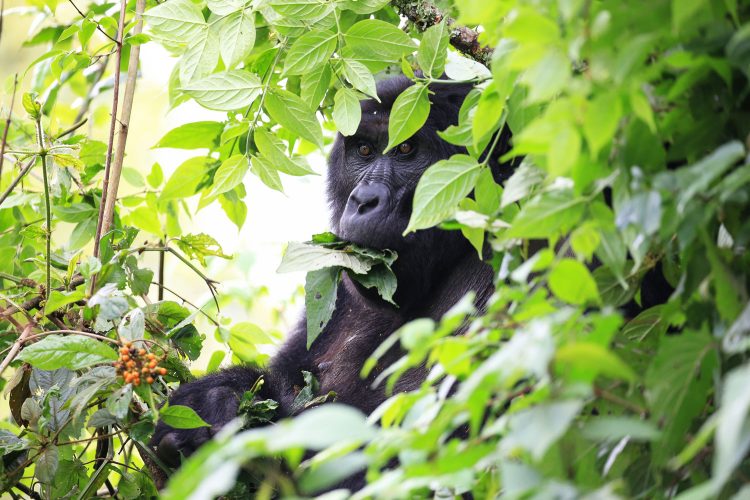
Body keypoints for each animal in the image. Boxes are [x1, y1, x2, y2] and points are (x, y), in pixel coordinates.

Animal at [149, 75, 512, 468]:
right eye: (364, 151)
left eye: (406, 149)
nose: (363, 201)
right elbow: (286, 380)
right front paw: (217, 396)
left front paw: (219, 406)